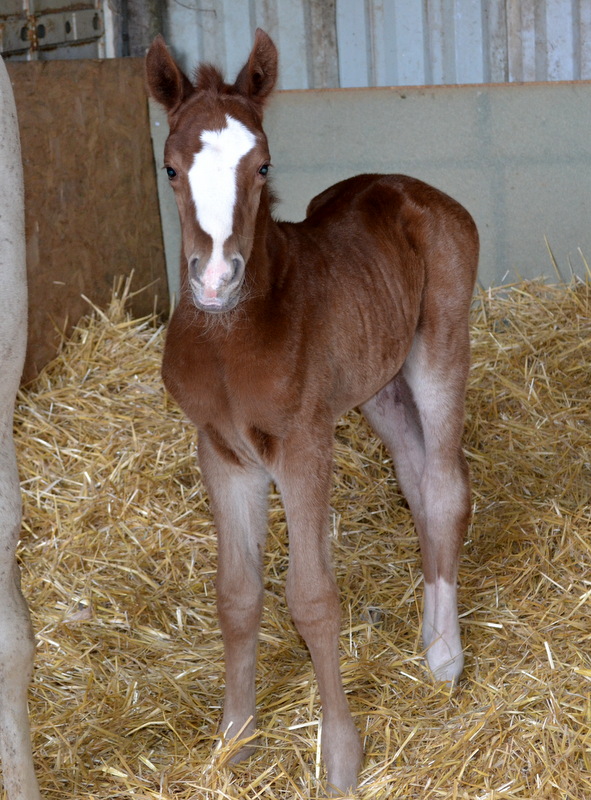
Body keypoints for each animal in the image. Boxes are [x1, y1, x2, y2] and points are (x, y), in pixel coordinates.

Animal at [146, 29, 478, 792]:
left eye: (263, 164)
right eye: (171, 168)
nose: (216, 279)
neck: (229, 340)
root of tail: (413, 190)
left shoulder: (303, 443)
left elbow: (311, 598)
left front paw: (341, 760)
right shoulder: (222, 450)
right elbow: (237, 597)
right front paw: (234, 742)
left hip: (439, 352)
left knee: (447, 487)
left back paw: (444, 657)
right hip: (378, 387)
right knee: (418, 484)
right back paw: (428, 629)